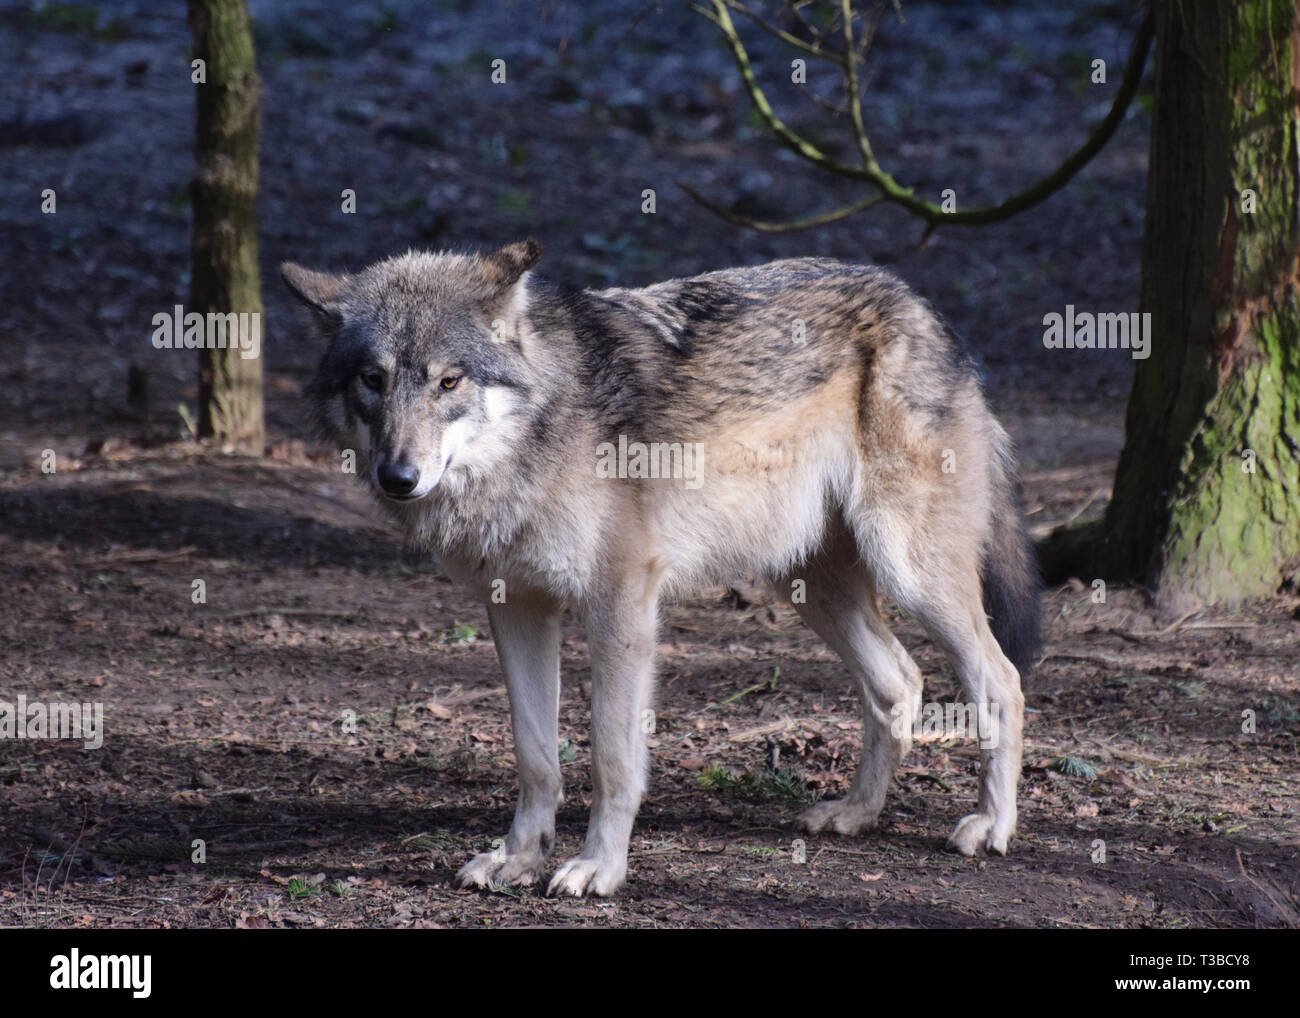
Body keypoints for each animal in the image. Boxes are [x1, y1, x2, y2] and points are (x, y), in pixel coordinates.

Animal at [279, 243, 1040, 894]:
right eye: (373, 380)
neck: (537, 434)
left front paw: (598, 867)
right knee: (899, 681)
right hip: (810, 587)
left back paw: (992, 826)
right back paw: (855, 814)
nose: (398, 477)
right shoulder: (518, 607)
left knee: (999, 676)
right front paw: (518, 858)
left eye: (448, 381)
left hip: (908, 569)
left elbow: (612, 757)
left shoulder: (621, 604)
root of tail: (920, 304)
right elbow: (536, 757)